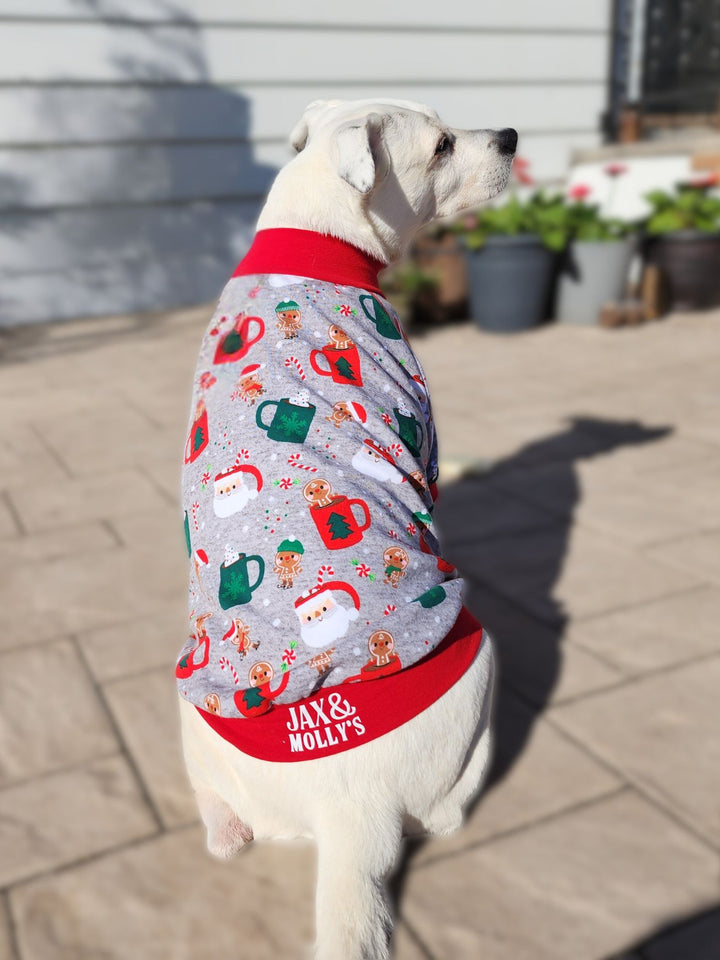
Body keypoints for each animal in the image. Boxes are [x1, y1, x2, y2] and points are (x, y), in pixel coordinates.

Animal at [180, 99, 516, 960]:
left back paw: (226, 830)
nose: (510, 137)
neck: (317, 229)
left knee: (218, 812)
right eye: (441, 145)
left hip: (194, 712)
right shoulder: (422, 437)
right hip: (479, 655)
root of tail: (351, 818)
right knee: (447, 809)